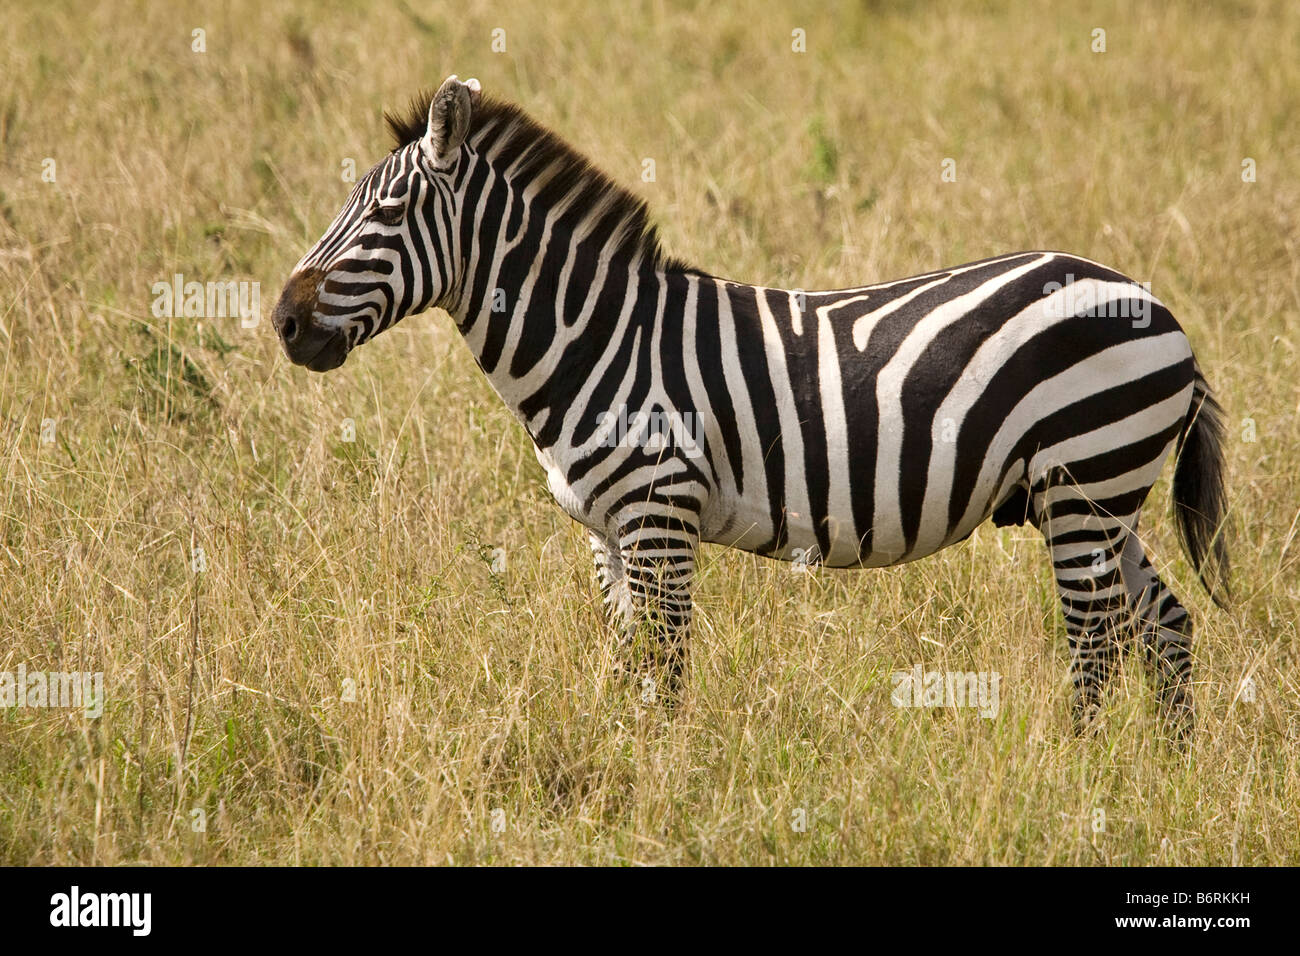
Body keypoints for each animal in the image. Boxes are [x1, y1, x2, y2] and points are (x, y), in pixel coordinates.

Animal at [272, 76, 1230, 740]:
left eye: (387, 212)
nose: (283, 321)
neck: (598, 339)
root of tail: (1159, 309)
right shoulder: (605, 534)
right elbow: (628, 666)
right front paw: (625, 765)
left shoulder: (659, 515)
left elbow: (665, 671)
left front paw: (659, 783)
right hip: (1097, 497)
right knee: (1166, 628)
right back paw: (1160, 776)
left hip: (1085, 482)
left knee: (1097, 644)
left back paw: (1080, 770)